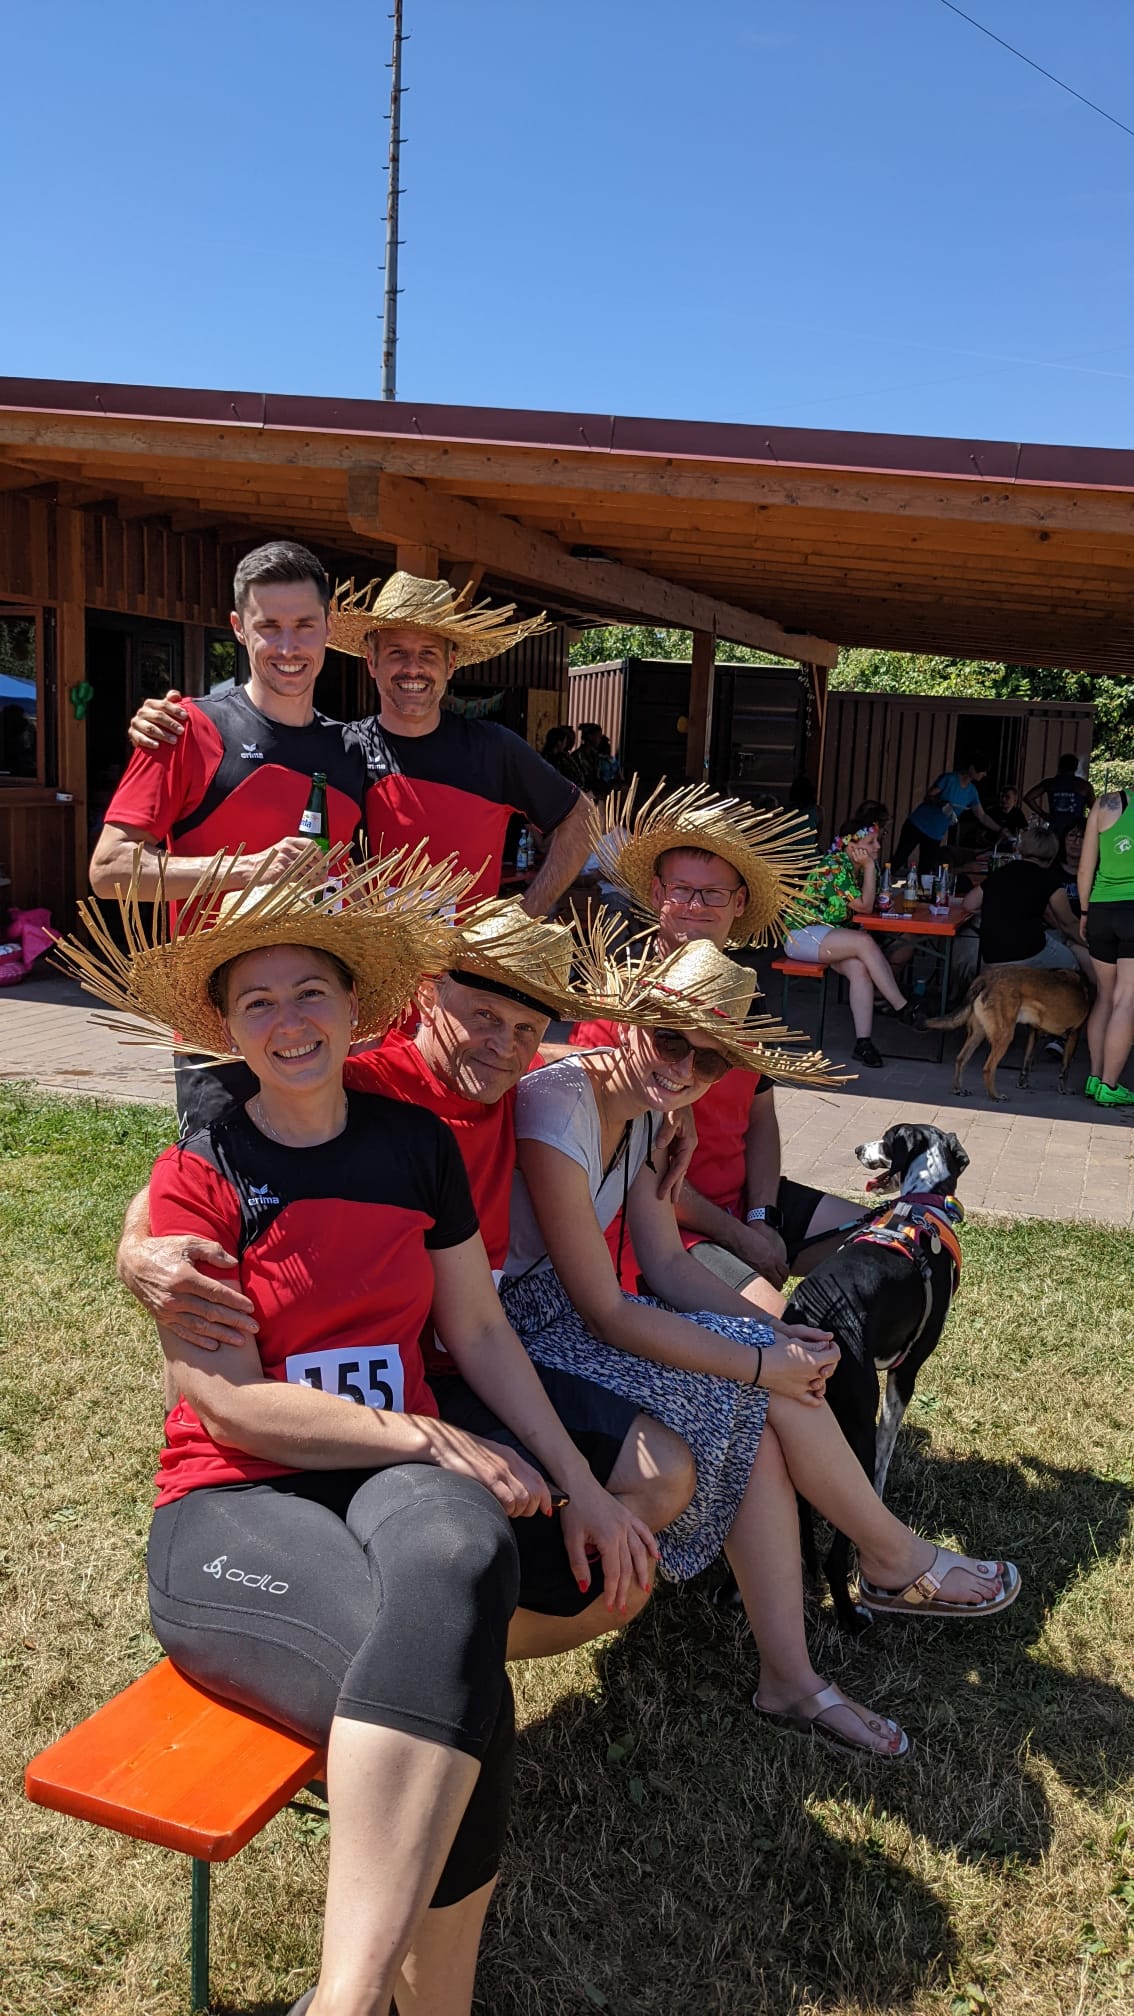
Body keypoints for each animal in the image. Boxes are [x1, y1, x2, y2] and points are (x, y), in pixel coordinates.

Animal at [782, 1122, 969, 1633]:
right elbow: (886, 1455)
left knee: (802, 1516)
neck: (921, 1201)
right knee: (836, 1550)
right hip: (855, 1426)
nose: (856, 1148)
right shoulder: (905, 1372)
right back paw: (851, 1616)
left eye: (887, 1139)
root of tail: (812, 1313)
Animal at [927, 966, 1089, 1102]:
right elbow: (1065, 1067)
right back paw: (995, 1096)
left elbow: (1026, 1062)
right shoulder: (1074, 1034)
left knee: (961, 1059)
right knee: (988, 1068)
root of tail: (986, 978)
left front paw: (1023, 1084)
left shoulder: (1034, 1032)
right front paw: (1064, 1090)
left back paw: (958, 1089)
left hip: (978, 1033)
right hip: (1005, 1035)